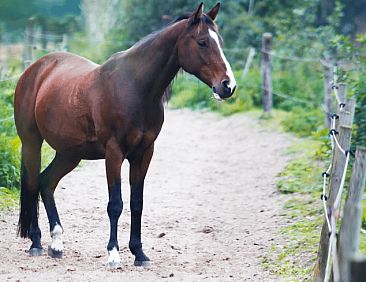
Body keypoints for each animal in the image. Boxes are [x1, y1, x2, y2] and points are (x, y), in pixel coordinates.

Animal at [13, 2, 234, 268]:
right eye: (202, 42)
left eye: (219, 40)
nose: (228, 86)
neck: (135, 88)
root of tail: (37, 69)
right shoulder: (114, 153)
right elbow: (115, 204)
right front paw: (113, 254)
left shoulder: (143, 154)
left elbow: (136, 203)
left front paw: (139, 253)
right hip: (31, 143)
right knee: (33, 183)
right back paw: (36, 242)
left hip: (69, 154)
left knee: (46, 182)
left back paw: (56, 244)